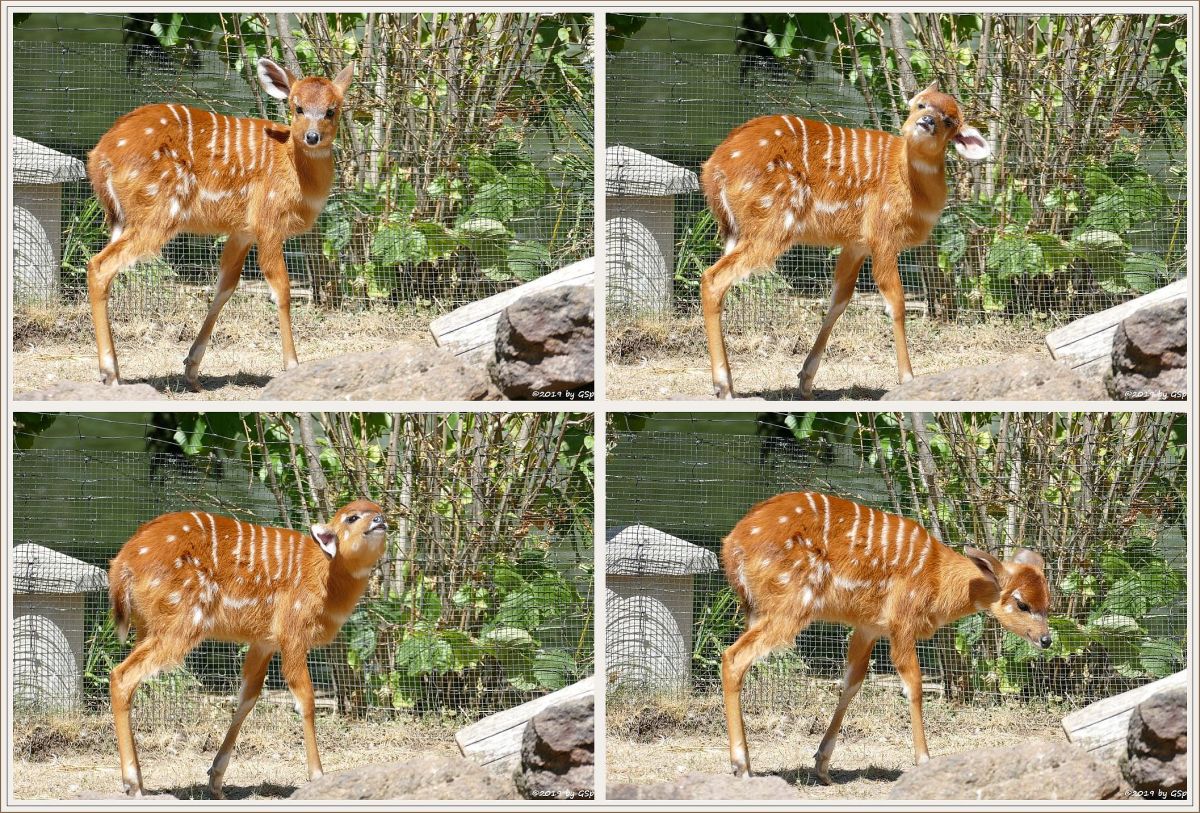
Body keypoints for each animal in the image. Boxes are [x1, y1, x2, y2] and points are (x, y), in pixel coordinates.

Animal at [86, 58, 350, 390]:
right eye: (297, 107)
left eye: (332, 110)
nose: (312, 137)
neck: (294, 170)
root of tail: (99, 158)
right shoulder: (268, 222)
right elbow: (282, 289)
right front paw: (292, 365)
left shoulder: (242, 231)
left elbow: (225, 287)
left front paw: (192, 369)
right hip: (157, 215)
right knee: (99, 266)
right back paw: (109, 373)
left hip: (122, 218)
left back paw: (116, 372)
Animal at [108, 501, 386, 801]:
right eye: (352, 517)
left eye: (378, 510)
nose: (381, 521)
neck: (324, 575)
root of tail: (121, 563)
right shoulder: (293, 634)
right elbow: (306, 700)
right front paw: (317, 776)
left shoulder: (264, 641)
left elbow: (247, 697)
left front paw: (216, 781)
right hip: (180, 625)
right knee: (121, 675)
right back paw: (132, 783)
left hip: (147, 627)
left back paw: (141, 783)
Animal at [700, 84, 988, 400]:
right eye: (921, 105)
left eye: (949, 120)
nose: (926, 122)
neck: (909, 183)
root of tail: (714, 168)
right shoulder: (883, 237)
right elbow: (896, 303)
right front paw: (908, 378)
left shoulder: (856, 244)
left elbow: (839, 300)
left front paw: (806, 381)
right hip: (772, 227)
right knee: (713, 278)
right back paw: (723, 387)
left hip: (743, 231)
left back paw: (729, 385)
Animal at [720, 494, 1051, 786]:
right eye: (1022, 603)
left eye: (1049, 603)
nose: (1046, 639)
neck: (939, 578)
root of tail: (731, 545)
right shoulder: (902, 623)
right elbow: (914, 685)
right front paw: (924, 761)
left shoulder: (869, 627)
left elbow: (852, 682)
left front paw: (822, 767)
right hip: (790, 607)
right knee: (733, 657)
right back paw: (741, 767)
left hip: (757, 610)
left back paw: (748, 766)